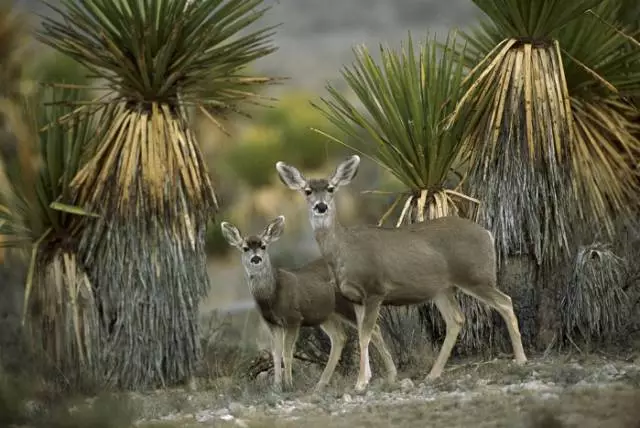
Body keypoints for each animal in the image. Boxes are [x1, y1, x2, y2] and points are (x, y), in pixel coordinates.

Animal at [222, 216, 398, 392]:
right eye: (245, 248)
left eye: (263, 246)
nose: (256, 258)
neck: (271, 295)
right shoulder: (272, 323)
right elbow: (276, 353)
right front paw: (277, 386)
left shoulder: (293, 318)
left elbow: (287, 352)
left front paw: (289, 385)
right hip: (326, 314)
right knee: (340, 337)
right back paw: (321, 384)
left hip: (347, 305)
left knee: (373, 329)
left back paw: (389, 375)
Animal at [272, 155, 528, 392]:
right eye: (307, 191)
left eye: (331, 189)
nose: (321, 206)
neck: (344, 251)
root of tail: (488, 234)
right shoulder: (355, 297)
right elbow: (367, 333)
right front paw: (368, 378)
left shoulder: (375, 290)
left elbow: (365, 334)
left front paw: (361, 382)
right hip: (442, 289)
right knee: (456, 319)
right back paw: (432, 375)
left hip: (475, 276)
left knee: (505, 302)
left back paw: (521, 360)